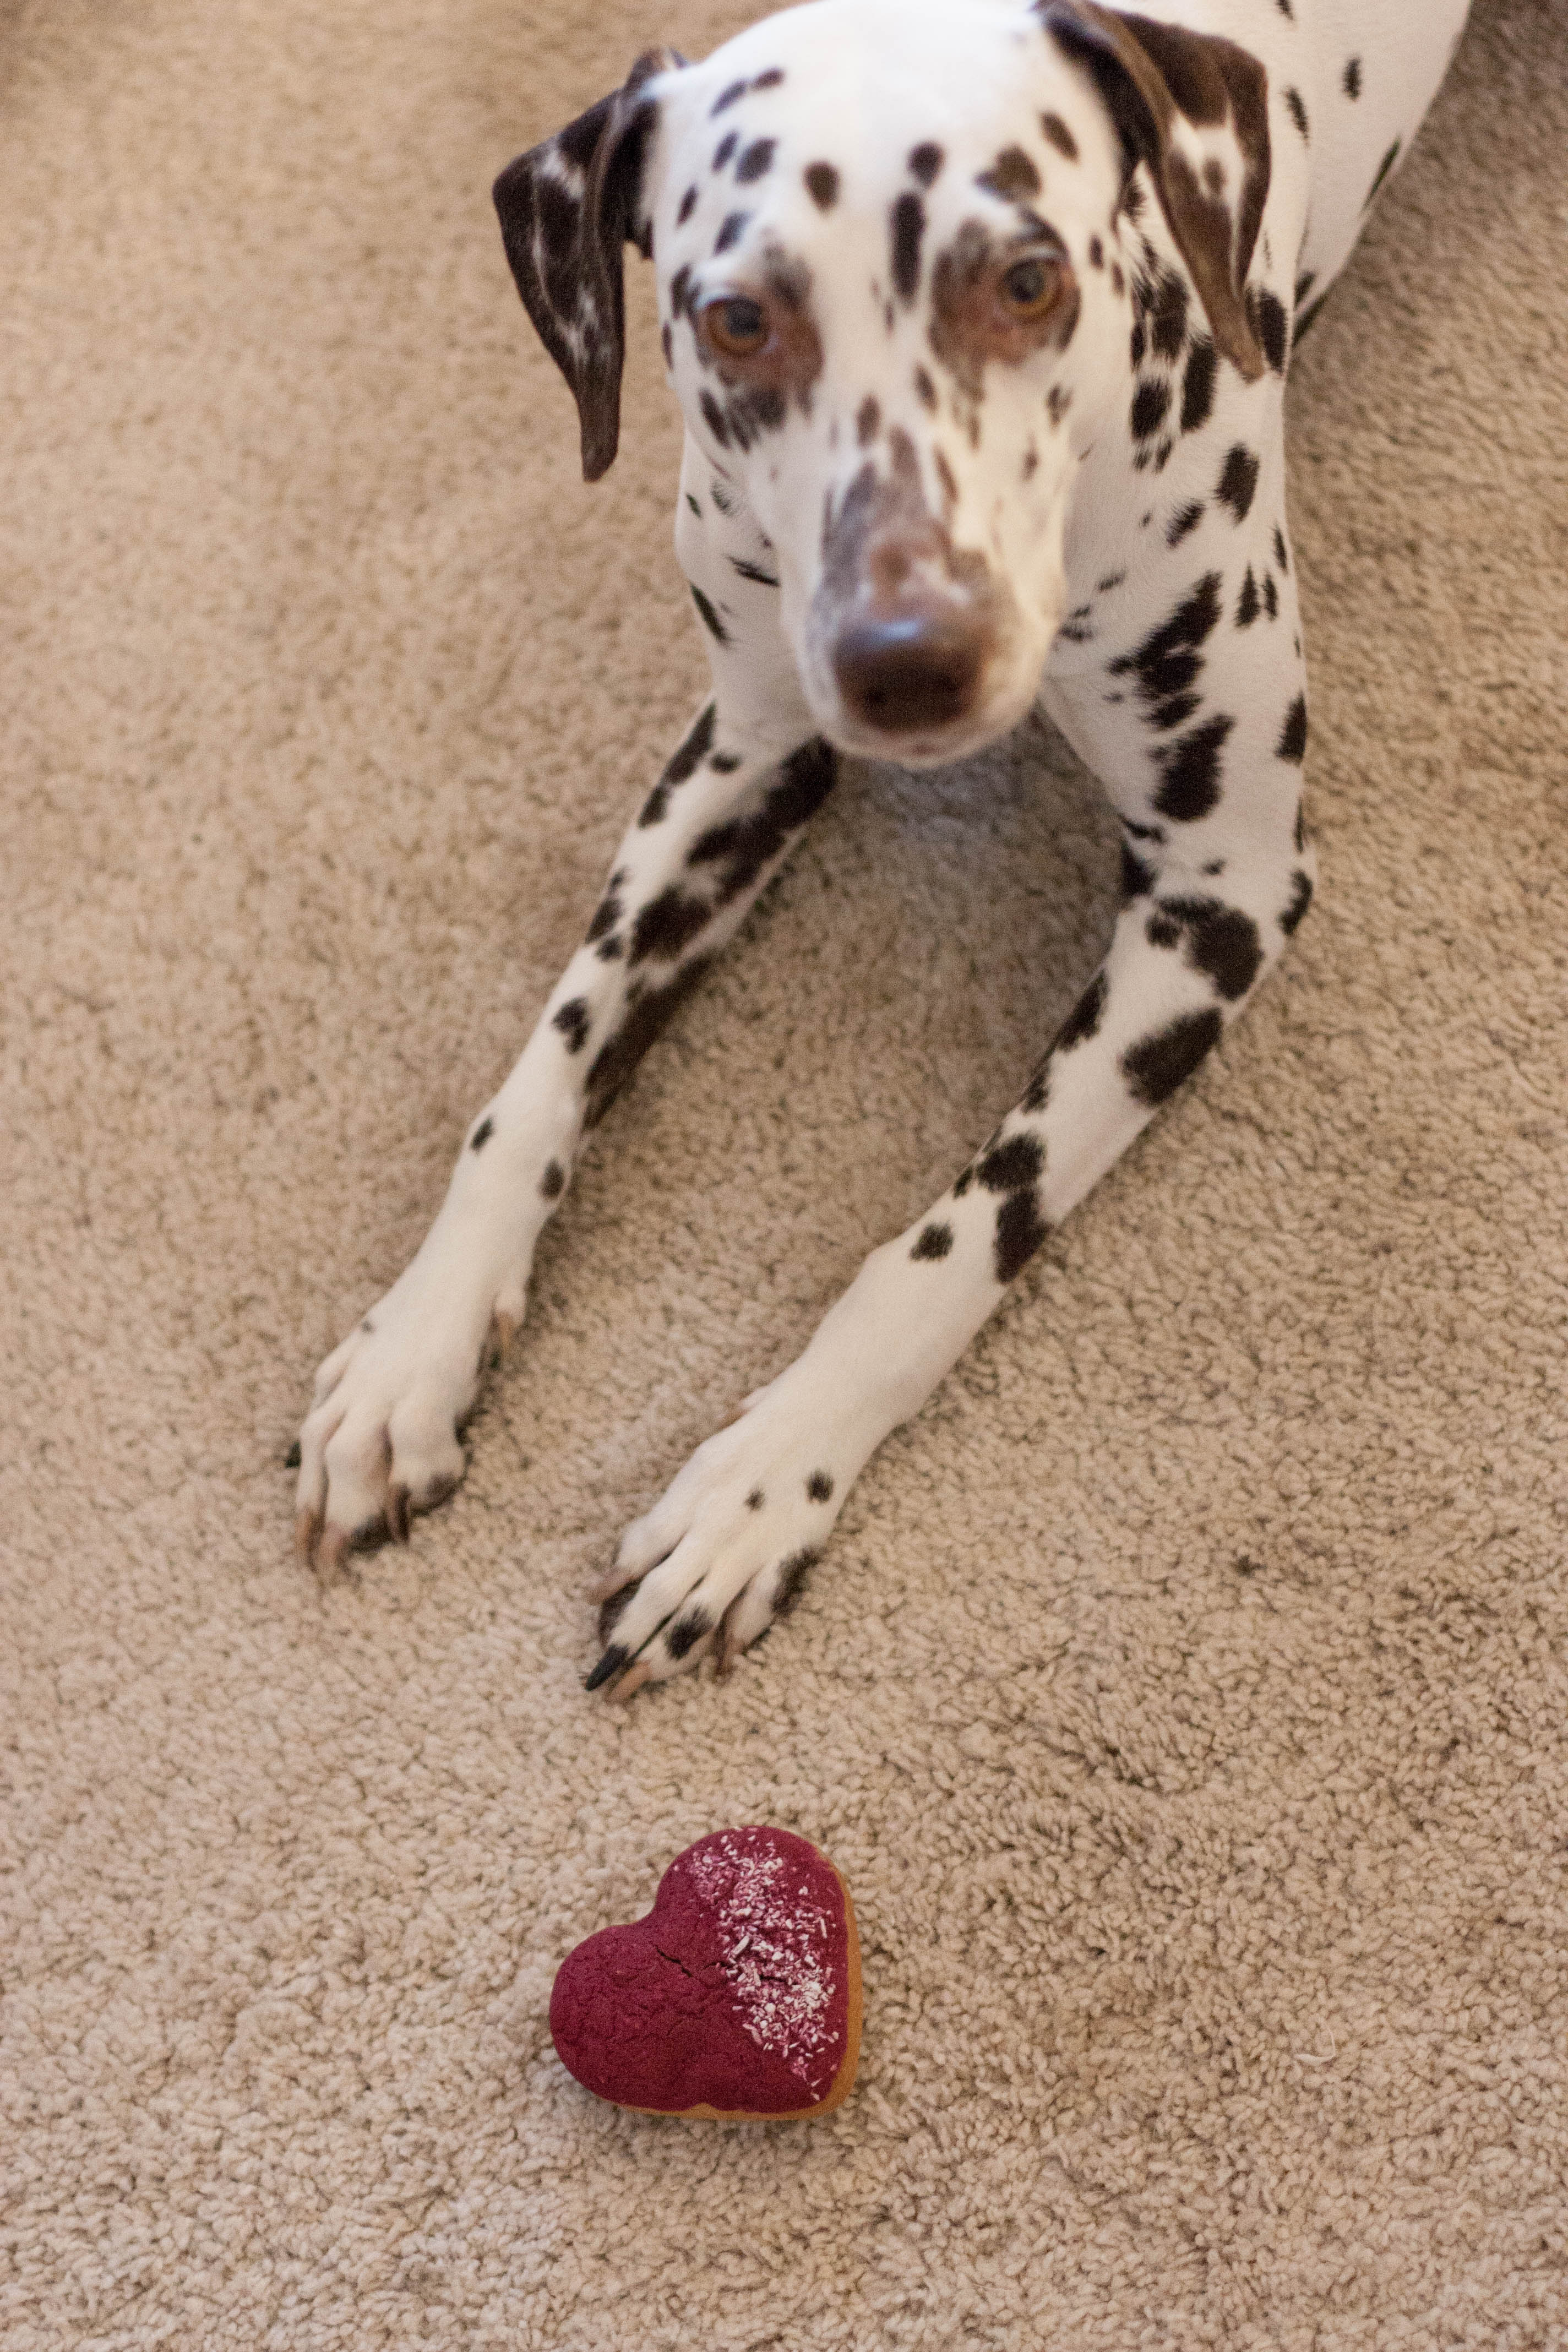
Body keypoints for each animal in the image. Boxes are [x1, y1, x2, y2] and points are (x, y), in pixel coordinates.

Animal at [291, 0, 1476, 1693]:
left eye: (1028, 280)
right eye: (735, 321)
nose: (909, 661)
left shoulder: (1222, 892)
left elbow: (951, 1236)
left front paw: (758, 1485)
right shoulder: (744, 751)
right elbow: (537, 1076)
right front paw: (416, 1343)